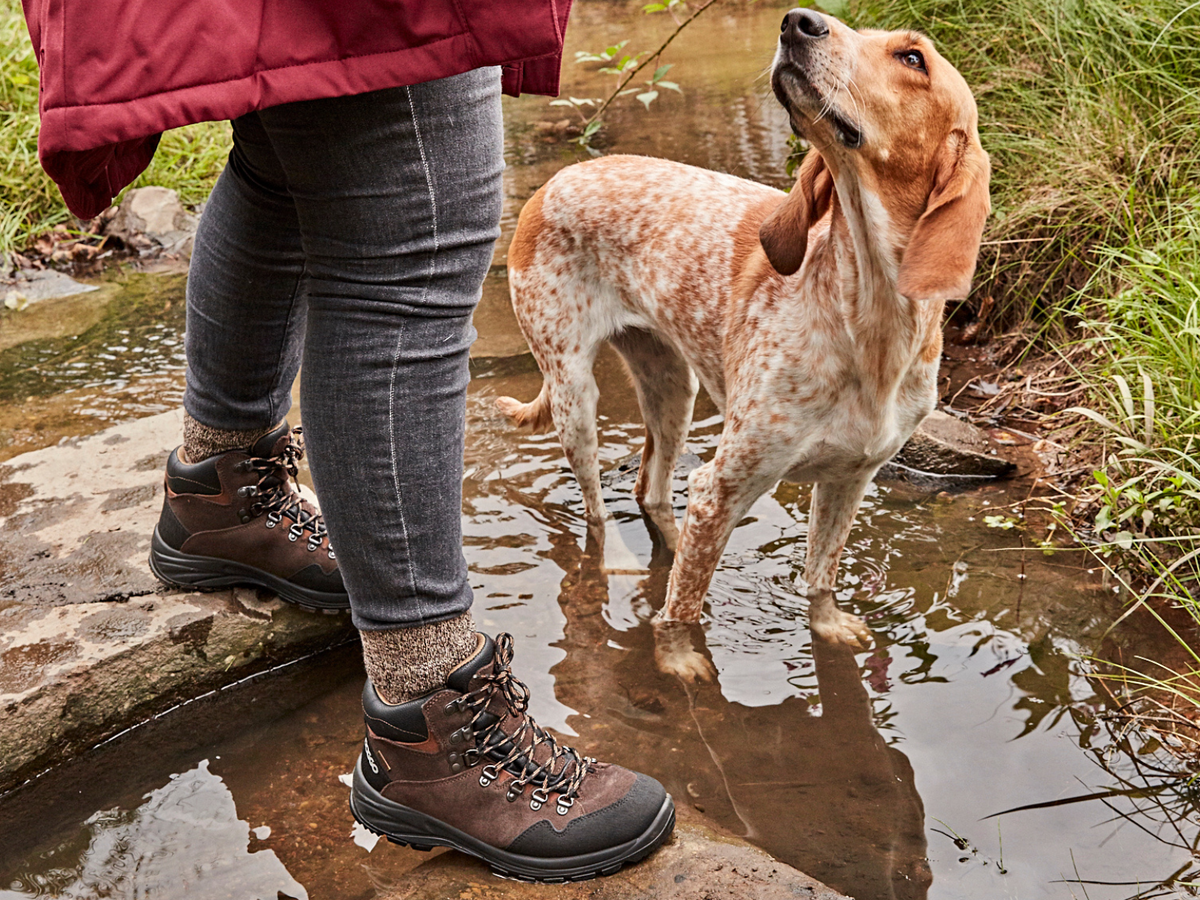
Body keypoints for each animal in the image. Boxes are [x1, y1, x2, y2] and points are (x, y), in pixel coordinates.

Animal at [496, 5, 993, 672]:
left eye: (912, 58)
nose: (797, 20)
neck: (866, 318)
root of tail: (556, 181)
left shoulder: (850, 480)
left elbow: (819, 574)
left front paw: (826, 626)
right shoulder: (728, 479)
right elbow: (681, 610)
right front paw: (679, 661)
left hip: (672, 389)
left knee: (653, 493)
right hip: (575, 393)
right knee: (600, 516)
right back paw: (621, 563)